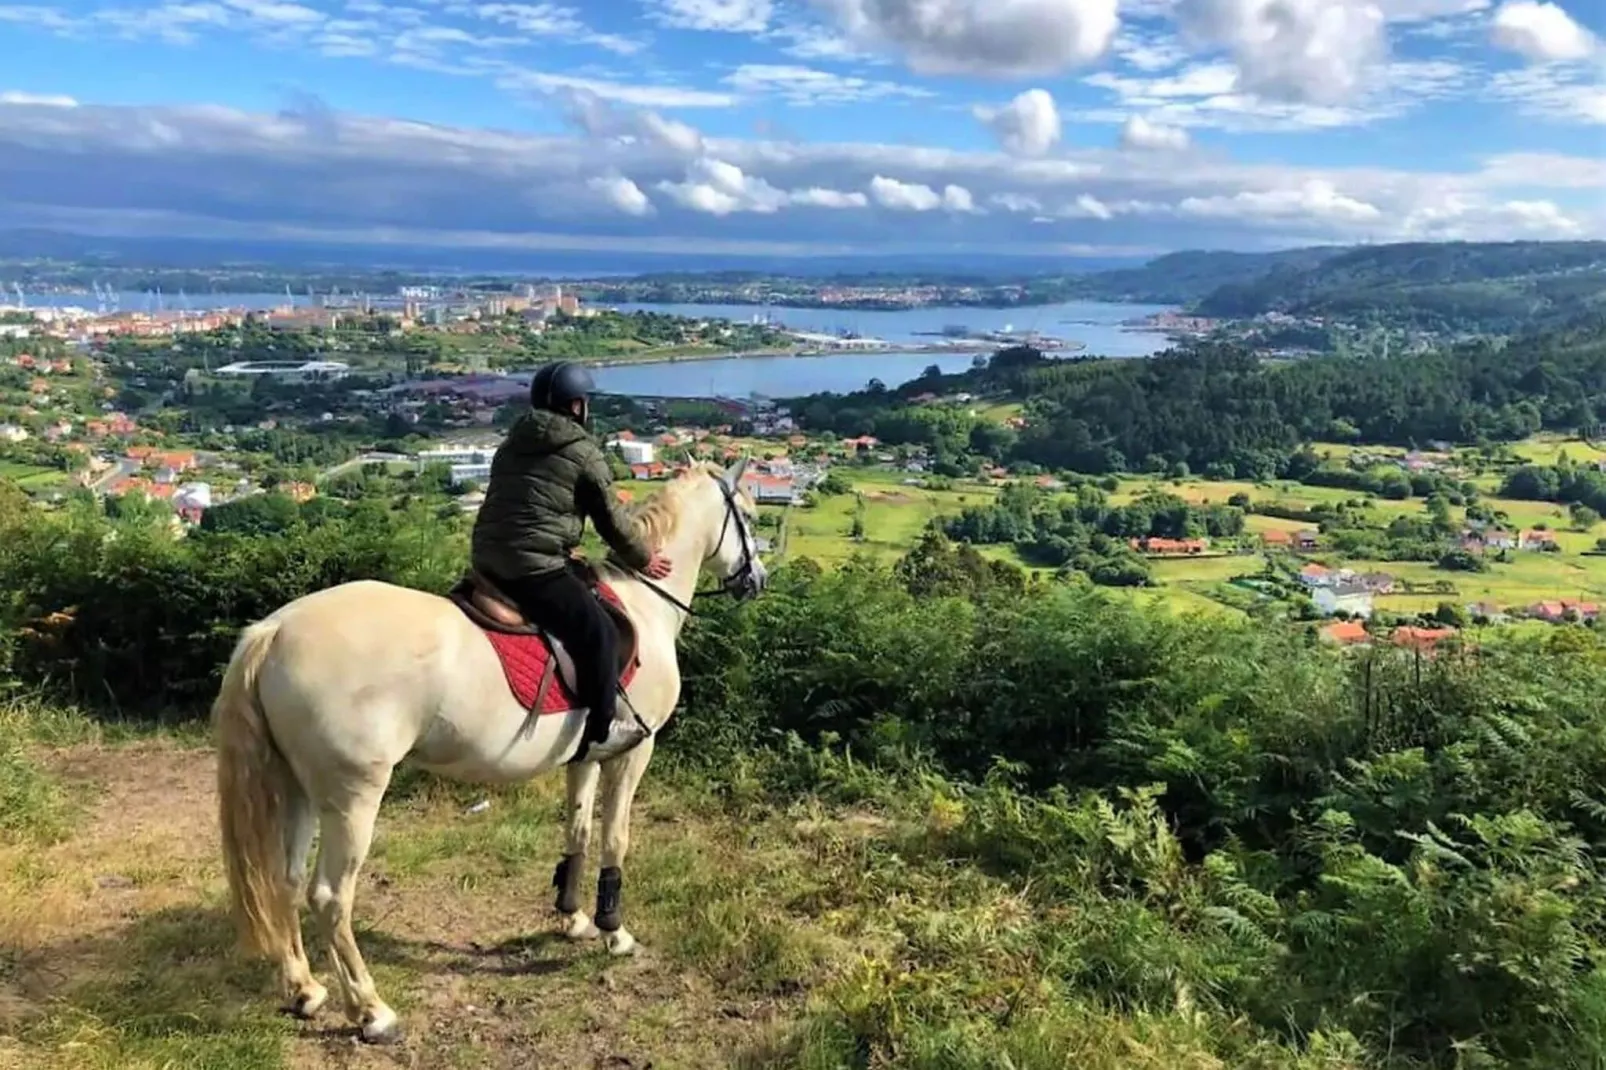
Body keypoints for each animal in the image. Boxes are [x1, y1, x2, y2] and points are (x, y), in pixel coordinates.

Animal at [213, 453, 764, 1034]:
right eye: (749, 516)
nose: (757, 579)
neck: (643, 603)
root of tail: (274, 630)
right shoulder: (634, 752)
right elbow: (615, 838)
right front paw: (613, 930)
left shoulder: (586, 756)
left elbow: (578, 830)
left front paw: (572, 918)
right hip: (352, 797)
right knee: (329, 896)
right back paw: (371, 1010)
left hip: (296, 786)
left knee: (286, 880)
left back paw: (305, 990)